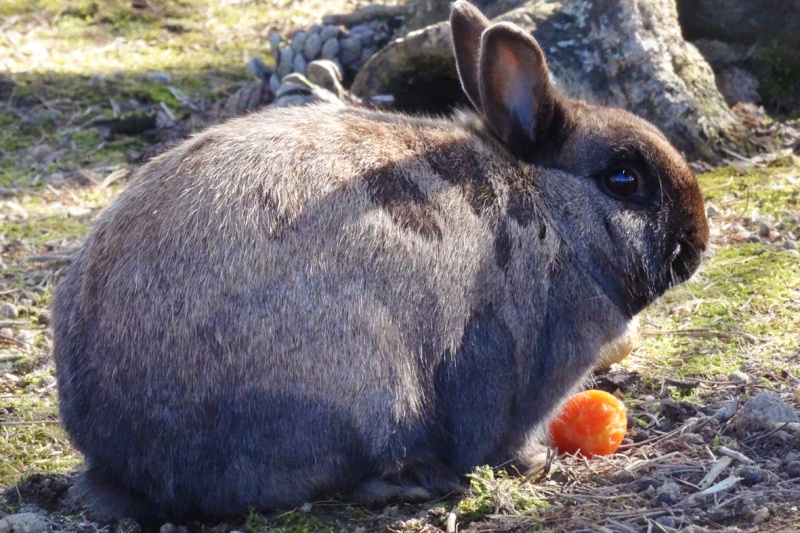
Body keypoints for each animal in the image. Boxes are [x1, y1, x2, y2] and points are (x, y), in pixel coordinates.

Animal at [51, 0, 708, 524]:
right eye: (623, 180)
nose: (697, 244)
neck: (547, 203)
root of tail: (125, 457)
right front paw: (533, 462)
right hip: (359, 389)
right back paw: (416, 482)